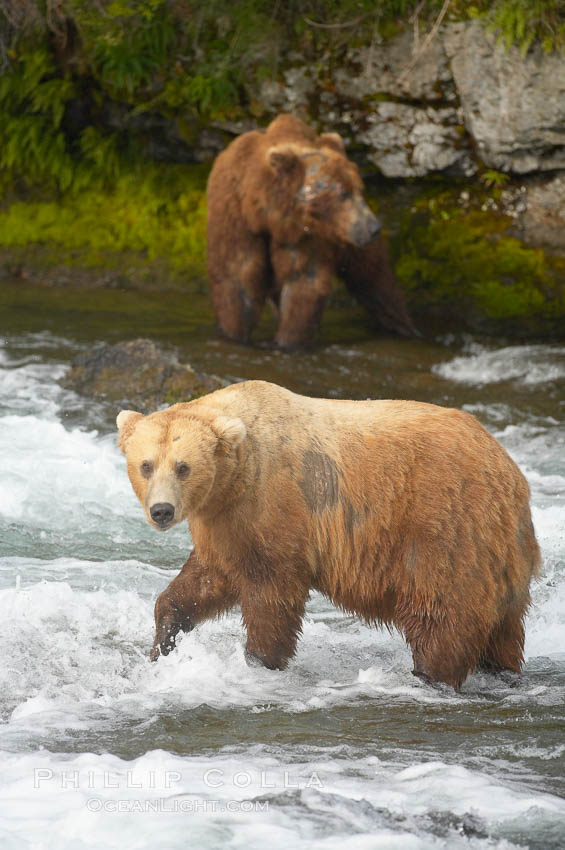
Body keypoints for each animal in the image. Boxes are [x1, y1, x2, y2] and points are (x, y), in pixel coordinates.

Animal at [117, 378, 540, 688]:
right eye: (146, 465)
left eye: (183, 466)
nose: (162, 510)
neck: (236, 476)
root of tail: (509, 470)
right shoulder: (227, 525)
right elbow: (203, 582)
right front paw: (162, 645)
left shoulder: (276, 504)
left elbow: (272, 594)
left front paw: (259, 660)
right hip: (501, 554)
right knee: (502, 632)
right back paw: (502, 672)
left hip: (445, 528)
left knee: (443, 615)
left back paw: (429, 676)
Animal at [205, 114, 416, 350]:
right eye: (343, 193)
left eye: (359, 189)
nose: (374, 227)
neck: (266, 215)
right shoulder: (236, 218)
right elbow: (238, 279)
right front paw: (233, 334)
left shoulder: (306, 235)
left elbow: (304, 281)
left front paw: (287, 342)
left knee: (376, 280)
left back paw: (404, 326)